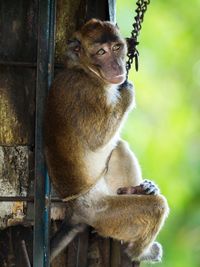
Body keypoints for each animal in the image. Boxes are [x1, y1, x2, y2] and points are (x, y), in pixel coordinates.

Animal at [44, 18, 169, 264]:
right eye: (101, 52)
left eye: (117, 48)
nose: (117, 66)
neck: (85, 71)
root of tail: (76, 212)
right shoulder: (86, 91)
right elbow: (97, 139)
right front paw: (126, 91)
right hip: (101, 212)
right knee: (155, 208)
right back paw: (138, 251)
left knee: (119, 147)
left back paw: (138, 189)